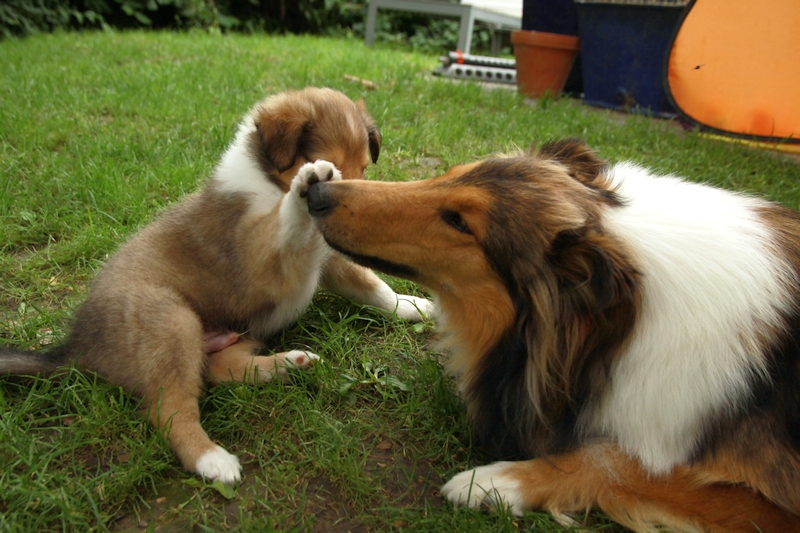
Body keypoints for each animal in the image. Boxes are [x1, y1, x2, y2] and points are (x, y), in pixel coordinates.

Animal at [0, 87, 432, 482]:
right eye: (330, 165)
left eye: (365, 167)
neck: (269, 182)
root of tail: (77, 348)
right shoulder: (258, 260)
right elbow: (282, 228)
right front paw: (304, 186)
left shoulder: (328, 260)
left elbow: (373, 287)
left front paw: (416, 306)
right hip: (171, 322)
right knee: (169, 408)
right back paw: (212, 460)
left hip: (240, 330)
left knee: (220, 370)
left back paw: (290, 364)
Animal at [306, 141, 800, 532]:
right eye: (447, 174)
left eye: (460, 222)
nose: (315, 192)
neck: (623, 327)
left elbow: (620, 463)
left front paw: (496, 481)